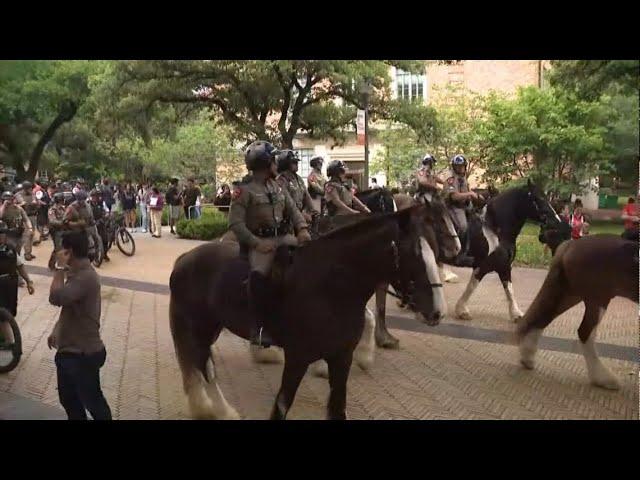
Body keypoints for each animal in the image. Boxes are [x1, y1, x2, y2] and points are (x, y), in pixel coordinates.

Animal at [169, 204, 440, 418]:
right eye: (415, 253)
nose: (436, 312)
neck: (329, 286)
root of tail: (184, 258)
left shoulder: (341, 358)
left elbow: (337, 408)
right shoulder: (297, 358)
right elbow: (281, 406)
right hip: (198, 329)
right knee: (205, 368)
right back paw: (220, 410)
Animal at [516, 235, 636, 390]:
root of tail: (571, 244)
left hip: (570, 293)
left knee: (543, 318)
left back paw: (527, 357)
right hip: (597, 298)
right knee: (584, 332)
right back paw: (604, 379)